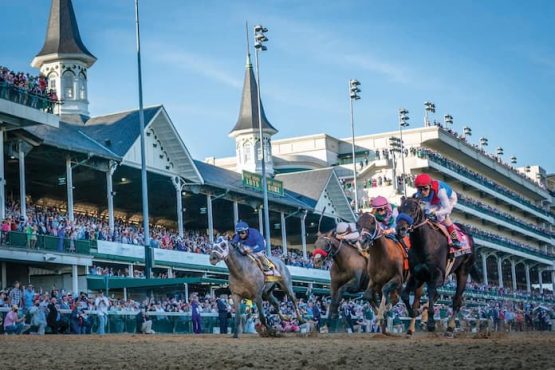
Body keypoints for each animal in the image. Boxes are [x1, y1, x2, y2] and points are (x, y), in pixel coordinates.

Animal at [398, 197, 480, 336]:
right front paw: (414, 313)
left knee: (457, 301)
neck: (424, 244)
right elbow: (405, 295)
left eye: (413, 209)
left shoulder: (437, 275)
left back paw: (450, 328)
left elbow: (431, 293)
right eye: (399, 209)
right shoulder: (416, 275)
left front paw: (431, 323)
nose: (401, 228)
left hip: (463, 271)